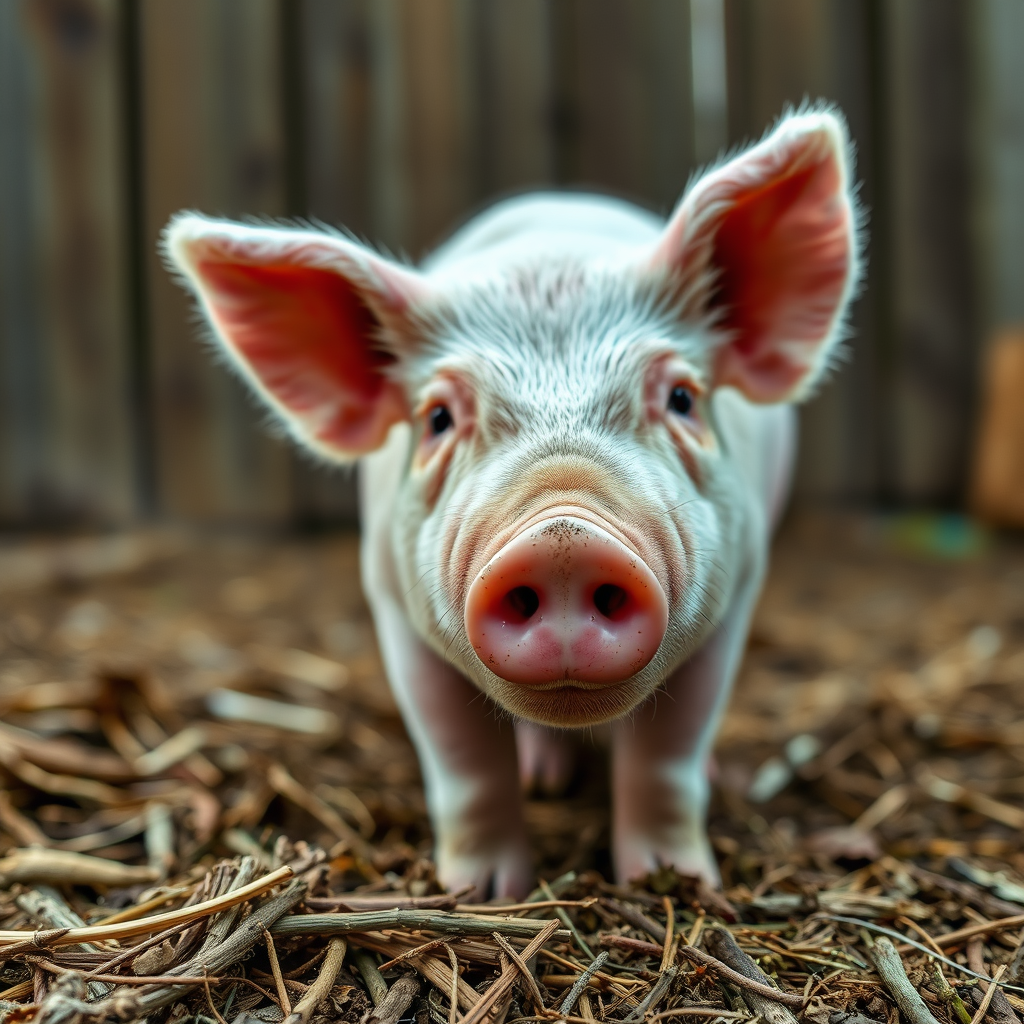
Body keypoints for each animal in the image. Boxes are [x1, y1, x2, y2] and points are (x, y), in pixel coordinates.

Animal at [164, 108, 860, 899]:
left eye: (682, 397)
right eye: (438, 417)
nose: (564, 537)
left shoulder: (739, 586)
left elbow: (667, 756)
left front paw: (672, 880)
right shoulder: (390, 601)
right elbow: (463, 763)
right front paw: (482, 892)